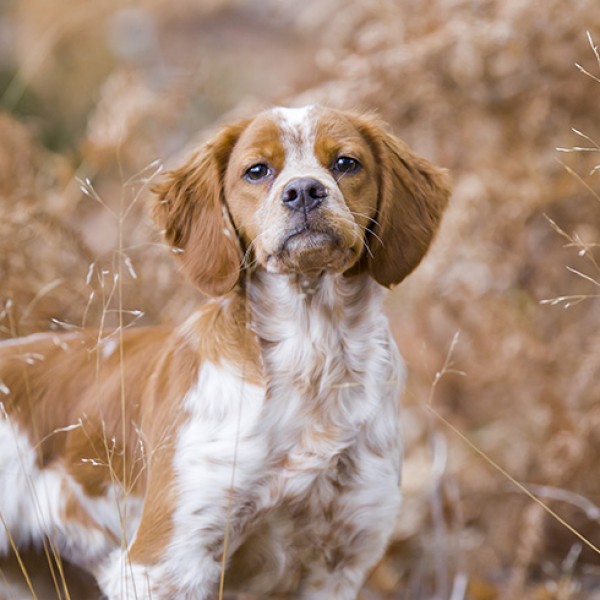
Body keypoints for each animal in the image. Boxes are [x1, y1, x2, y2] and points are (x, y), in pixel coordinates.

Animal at [0, 105, 450, 596]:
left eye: (347, 163)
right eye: (257, 170)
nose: (304, 191)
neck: (312, 357)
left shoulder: (341, 559)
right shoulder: (165, 561)